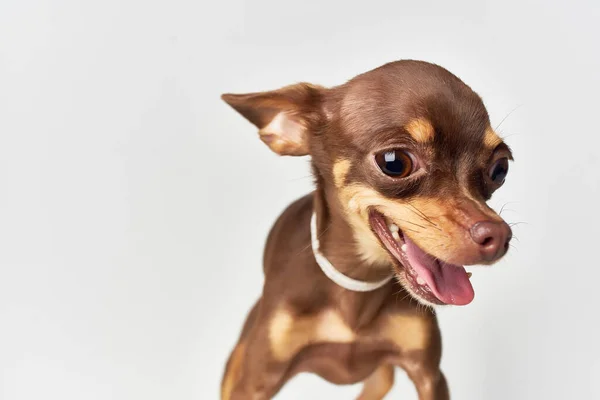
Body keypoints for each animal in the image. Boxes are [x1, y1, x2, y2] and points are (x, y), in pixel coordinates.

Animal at [219, 60, 510, 400]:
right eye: (394, 162)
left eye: (500, 170)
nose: (499, 235)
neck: (359, 281)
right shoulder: (254, 381)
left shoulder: (430, 376)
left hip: (380, 377)